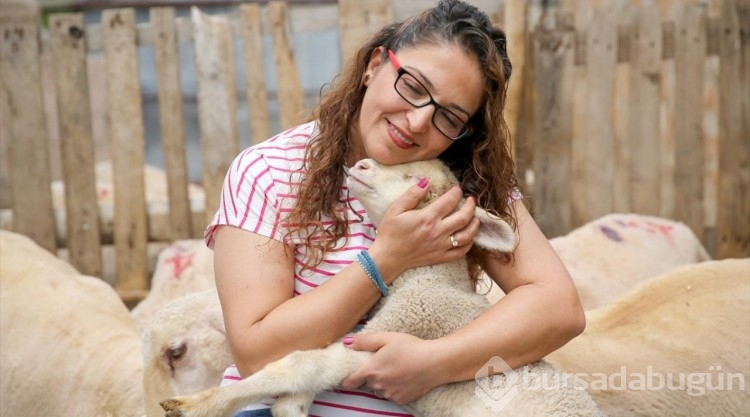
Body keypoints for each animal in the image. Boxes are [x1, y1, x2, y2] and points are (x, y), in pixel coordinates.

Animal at [159, 158, 600, 414]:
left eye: (416, 179)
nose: (363, 164)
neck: (427, 279)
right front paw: (292, 406)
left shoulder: (401, 331)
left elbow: (302, 363)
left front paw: (196, 405)